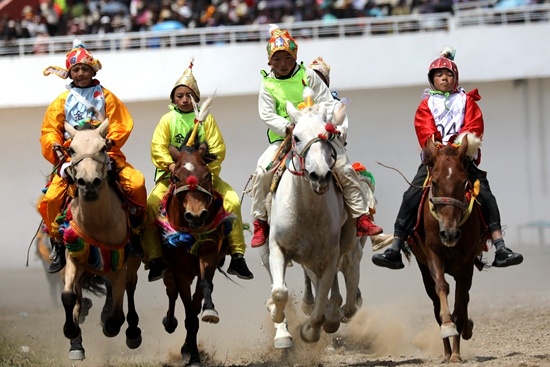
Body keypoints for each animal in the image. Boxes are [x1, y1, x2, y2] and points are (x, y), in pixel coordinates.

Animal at [58, 120, 142, 360]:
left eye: (104, 147)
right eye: (71, 150)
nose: (89, 183)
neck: (98, 222)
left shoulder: (120, 264)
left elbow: (118, 308)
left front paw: (111, 326)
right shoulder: (73, 258)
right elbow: (68, 297)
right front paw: (71, 332)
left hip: (133, 260)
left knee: (129, 288)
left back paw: (133, 332)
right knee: (78, 298)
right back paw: (77, 342)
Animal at [157, 132, 233, 366]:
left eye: (207, 175)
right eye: (175, 177)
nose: (197, 215)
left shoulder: (208, 256)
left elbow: (202, 293)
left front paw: (209, 311)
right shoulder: (179, 268)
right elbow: (188, 312)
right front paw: (193, 357)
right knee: (171, 293)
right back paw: (169, 322)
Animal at [266, 92, 358, 350]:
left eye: (327, 136)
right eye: (296, 137)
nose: (320, 176)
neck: (306, 212)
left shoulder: (328, 256)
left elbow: (320, 308)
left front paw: (310, 331)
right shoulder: (277, 247)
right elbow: (279, 292)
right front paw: (277, 318)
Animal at [412, 136, 490, 366]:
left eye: (464, 182)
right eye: (435, 183)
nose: (450, 234)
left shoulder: (466, 262)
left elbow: (461, 298)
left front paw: (458, 347)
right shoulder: (432, 255)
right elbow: (442, 288)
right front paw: (448, 328)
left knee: (464, 299)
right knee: (436, 303)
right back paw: (446, 351)